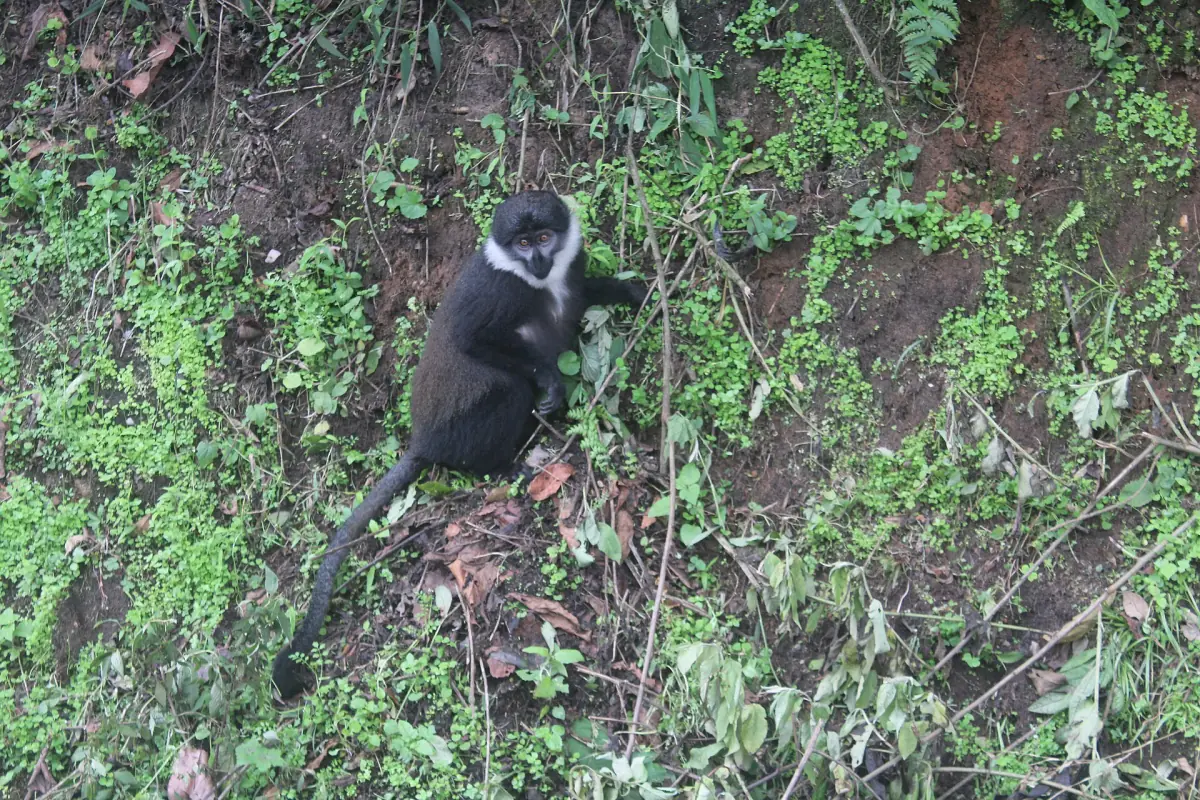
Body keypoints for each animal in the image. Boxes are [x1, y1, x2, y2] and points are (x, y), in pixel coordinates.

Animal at [272, 190, 647, 699]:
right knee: (510, 390)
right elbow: (471, 342)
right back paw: (503, 467)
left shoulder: (572, 263)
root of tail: (423, 441)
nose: (538, 259)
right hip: (462, 431)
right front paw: (549, 378)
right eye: (522, 242)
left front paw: (632, 291)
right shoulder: (499, 293)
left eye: (543, 237)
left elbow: (585, 291)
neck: (533, 278)